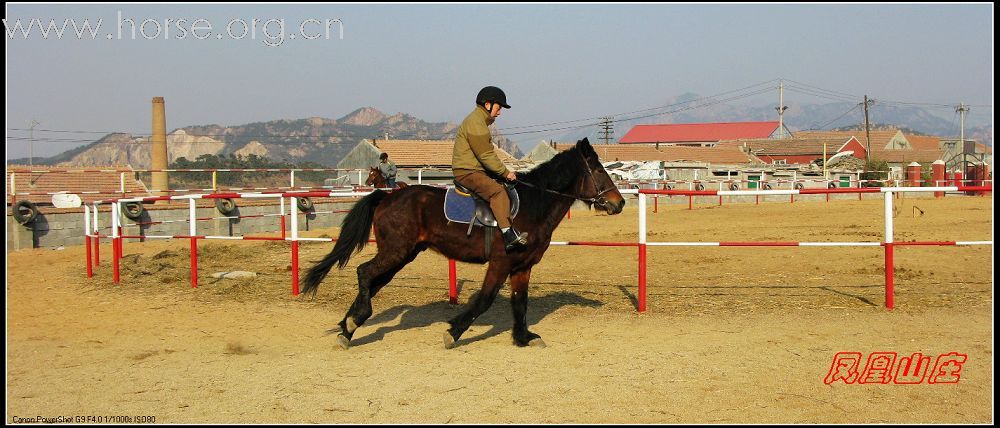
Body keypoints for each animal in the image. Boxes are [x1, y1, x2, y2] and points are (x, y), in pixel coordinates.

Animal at [300, 139, 620, 350]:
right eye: (599, 172)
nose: (619, 203)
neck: (532, 204)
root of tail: (388, 197)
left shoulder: (523, 266)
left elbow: (520, 302)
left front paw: (523, 337)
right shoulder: (501, 262)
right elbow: (484, 299)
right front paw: (453, 331)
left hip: (402, 255)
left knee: (373, 281)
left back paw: (347, 327)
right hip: (396, 252)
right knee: (364, 273)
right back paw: (354, 322)